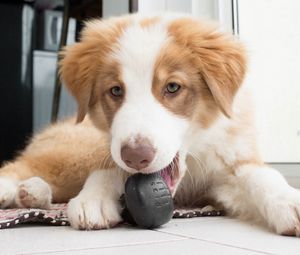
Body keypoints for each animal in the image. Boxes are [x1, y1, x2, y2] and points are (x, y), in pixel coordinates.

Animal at [0, 12, 300, 234]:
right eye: (116, 91)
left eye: (173, 87)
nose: (136, 157)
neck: (193, 158)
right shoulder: (109, 148)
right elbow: (106, 170)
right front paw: (93, 199)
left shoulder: (229, 164)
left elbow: (262, 176)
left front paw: (289, 200)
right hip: (78, 150)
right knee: (23, 165)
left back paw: (32, 194)